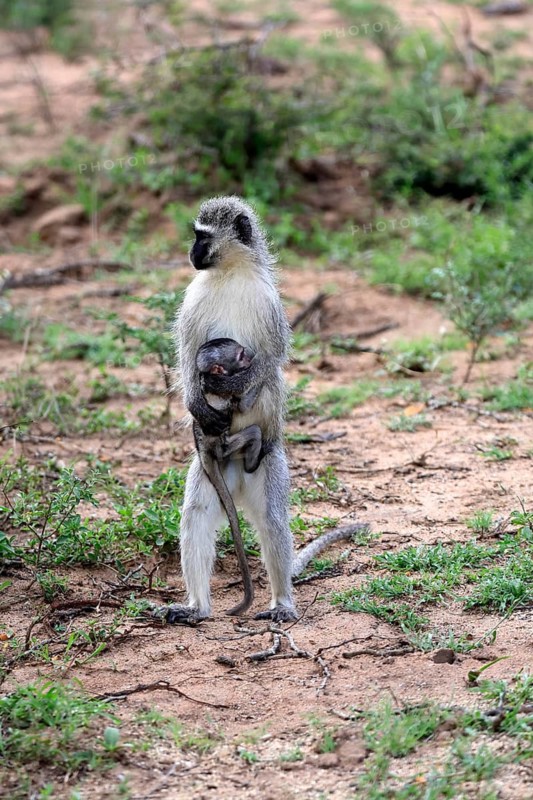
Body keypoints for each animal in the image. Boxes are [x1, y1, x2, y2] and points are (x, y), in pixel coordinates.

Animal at [166, 196, 368, 625]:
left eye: (202, 236)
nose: (191, 252)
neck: (231, 273)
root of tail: (237, 462)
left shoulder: (270, 305)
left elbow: (273, 359)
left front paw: (229, 385)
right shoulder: (193, 299)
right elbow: (186, 355)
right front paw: (197, 400)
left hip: (269, 465)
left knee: (274, 520)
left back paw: (282, 603)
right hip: (211, 471)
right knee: (196, 514)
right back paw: (197, 608)